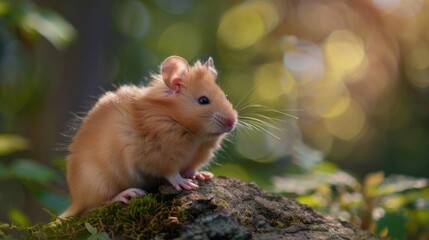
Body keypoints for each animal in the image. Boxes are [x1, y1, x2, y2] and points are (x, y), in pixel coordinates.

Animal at [59, 56, 237, 218]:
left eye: (227, 96)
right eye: (203, 100)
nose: (232, 122)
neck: (195, 134)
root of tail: (75, 200)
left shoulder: (197, 156)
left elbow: (191, 168)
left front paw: (202, 175)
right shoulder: (157, 157)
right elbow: (171, 172)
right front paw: (186, 184)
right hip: (99, 181)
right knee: (96, 204)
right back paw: (129, 194)